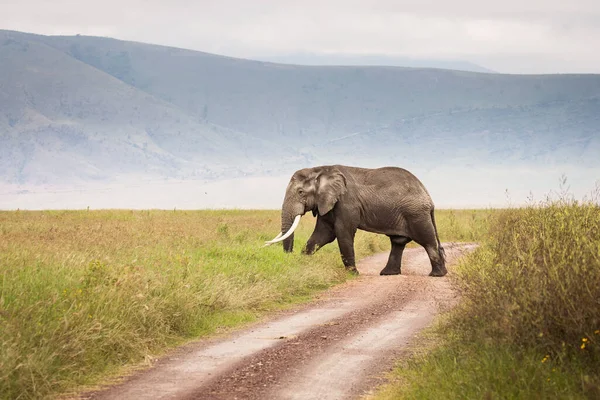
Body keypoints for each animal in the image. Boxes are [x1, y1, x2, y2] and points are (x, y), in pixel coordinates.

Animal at [264, 164, 448, 276]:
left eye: (301, 192)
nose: (290, 258)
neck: (321, 169)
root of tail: (428, 196)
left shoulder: (347, 202)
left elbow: (342, 233)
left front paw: (352, 274)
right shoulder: (328, 203)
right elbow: (323, 234)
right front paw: (304, 262)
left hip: (416, 214)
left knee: (427, 241)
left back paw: (437, 275)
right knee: (398, 242)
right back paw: (387, 273)